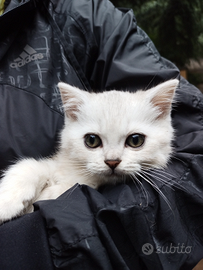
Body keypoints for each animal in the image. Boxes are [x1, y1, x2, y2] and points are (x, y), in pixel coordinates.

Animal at [0, 79, 178, 223]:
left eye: (135, 140)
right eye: (92, 140)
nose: (112, 161)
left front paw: (48, 195)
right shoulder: (56, 163)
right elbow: (28, 166)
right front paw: (6, 202)